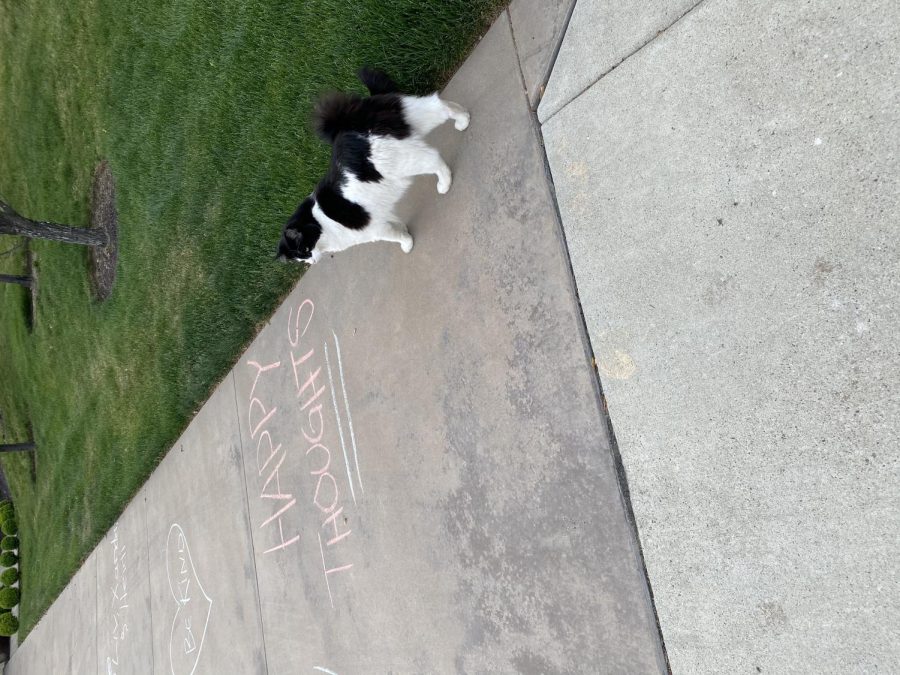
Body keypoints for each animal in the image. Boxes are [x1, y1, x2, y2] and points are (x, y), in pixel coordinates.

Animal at [278, 68, 468, 264]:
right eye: (300, 259)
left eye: (305, 250)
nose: (312, 261)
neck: (319, 222)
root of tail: (347, 121)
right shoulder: (381, 217)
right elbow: (397, 225)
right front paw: (405, 231)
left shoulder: (374, 230)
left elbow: (396, 237)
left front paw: (407, 244)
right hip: (410, 118)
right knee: (440, 105)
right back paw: (463, 121)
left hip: (399, 161)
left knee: (434, 158)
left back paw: (444, 184)